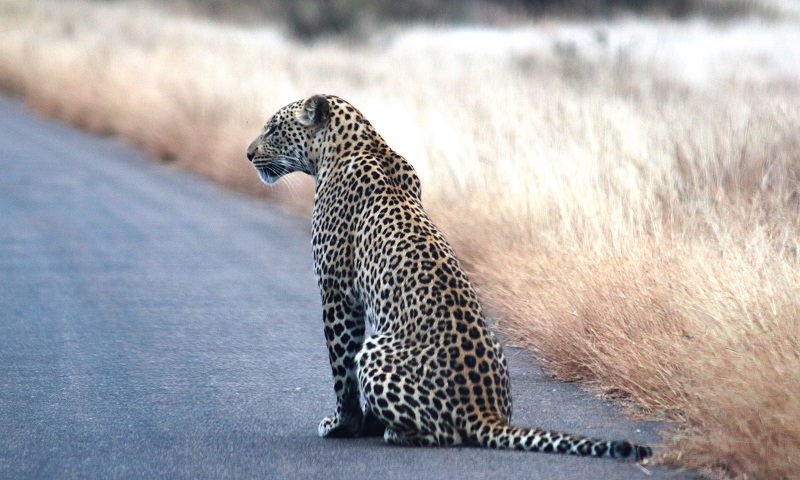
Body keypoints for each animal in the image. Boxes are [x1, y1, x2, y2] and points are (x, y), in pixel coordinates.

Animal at [247, 94, 652, 462]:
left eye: (272, 129)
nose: (249, 154)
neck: (359, 143)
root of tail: (485, 412)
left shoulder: (337, 290)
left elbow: (341, 367)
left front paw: (343, 425)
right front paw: (365, 423)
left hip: (376, 351)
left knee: (444, 432)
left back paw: (396, 433)